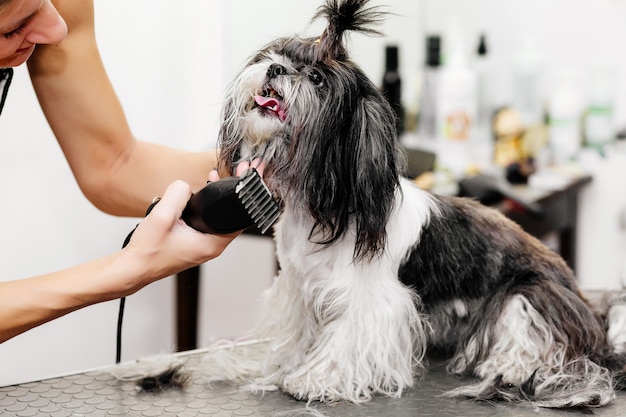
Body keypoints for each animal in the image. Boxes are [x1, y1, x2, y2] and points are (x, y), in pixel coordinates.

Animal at [144, 0, 624, 410]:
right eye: (276, 54)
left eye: (316, 79)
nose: (276, 68)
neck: (320, 207)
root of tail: (586, 304)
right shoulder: (299, 289)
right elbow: (298, 334)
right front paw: (290, 364)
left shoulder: (373, 301)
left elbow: (346, 340)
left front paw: (315, 379)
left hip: (527, 297)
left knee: (535, 339)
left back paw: (510, 366)